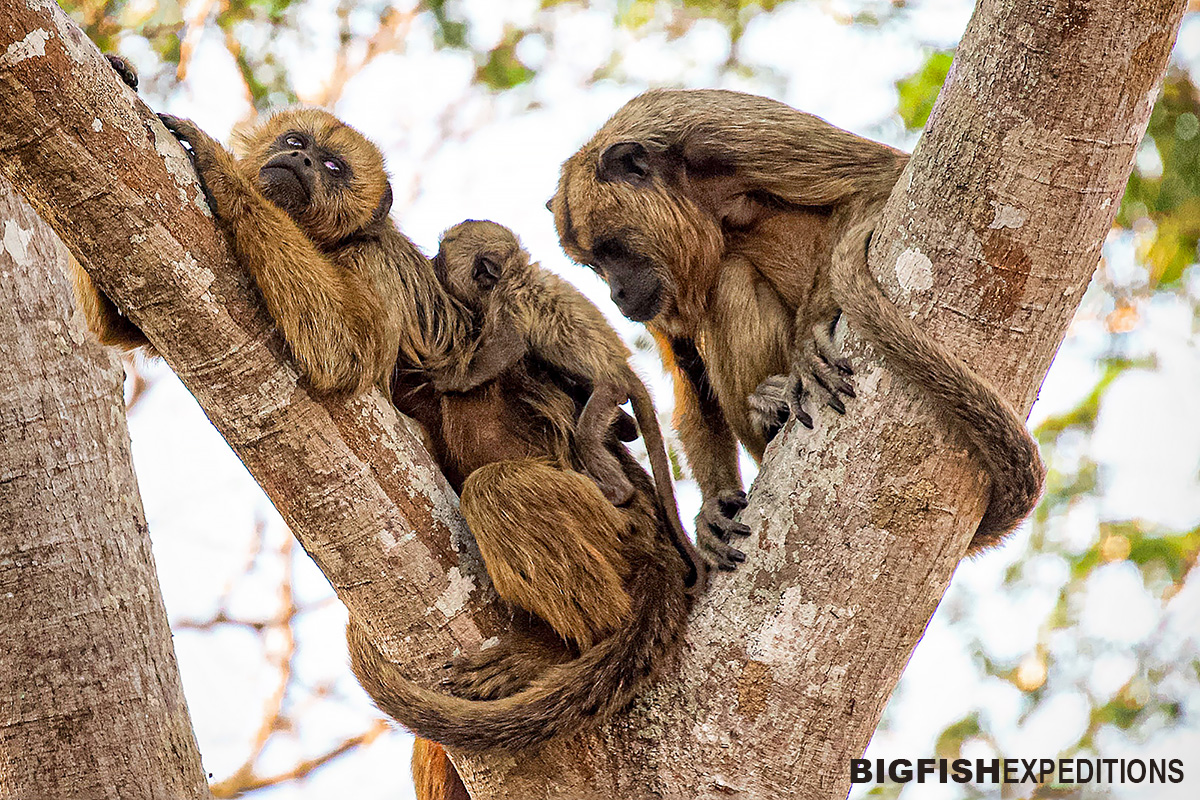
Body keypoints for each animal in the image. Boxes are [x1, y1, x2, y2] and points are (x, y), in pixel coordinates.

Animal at [549, 88, 1045, 568]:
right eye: (594, 265)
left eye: (613, 249)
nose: (617, 294)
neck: (687, 190)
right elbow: (688, 366)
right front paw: (712, 507)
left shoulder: (717, 131)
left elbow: (881, 178)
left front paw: (809, 340)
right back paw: (768, 414)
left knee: (730, 275)